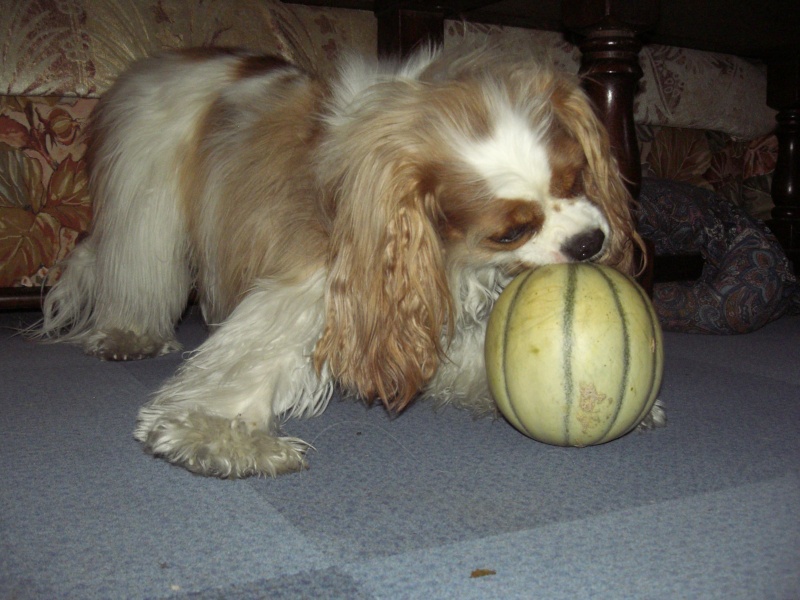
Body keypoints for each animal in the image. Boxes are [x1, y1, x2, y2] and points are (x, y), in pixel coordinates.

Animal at [36, 44, 664, 478]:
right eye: (512, 231)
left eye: (575, 179)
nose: (589, 242)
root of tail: (171, 57)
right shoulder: (314, 286)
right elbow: (245, 367)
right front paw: (217, 436)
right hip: (148, 200)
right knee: (135, 269)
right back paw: (128, 333)